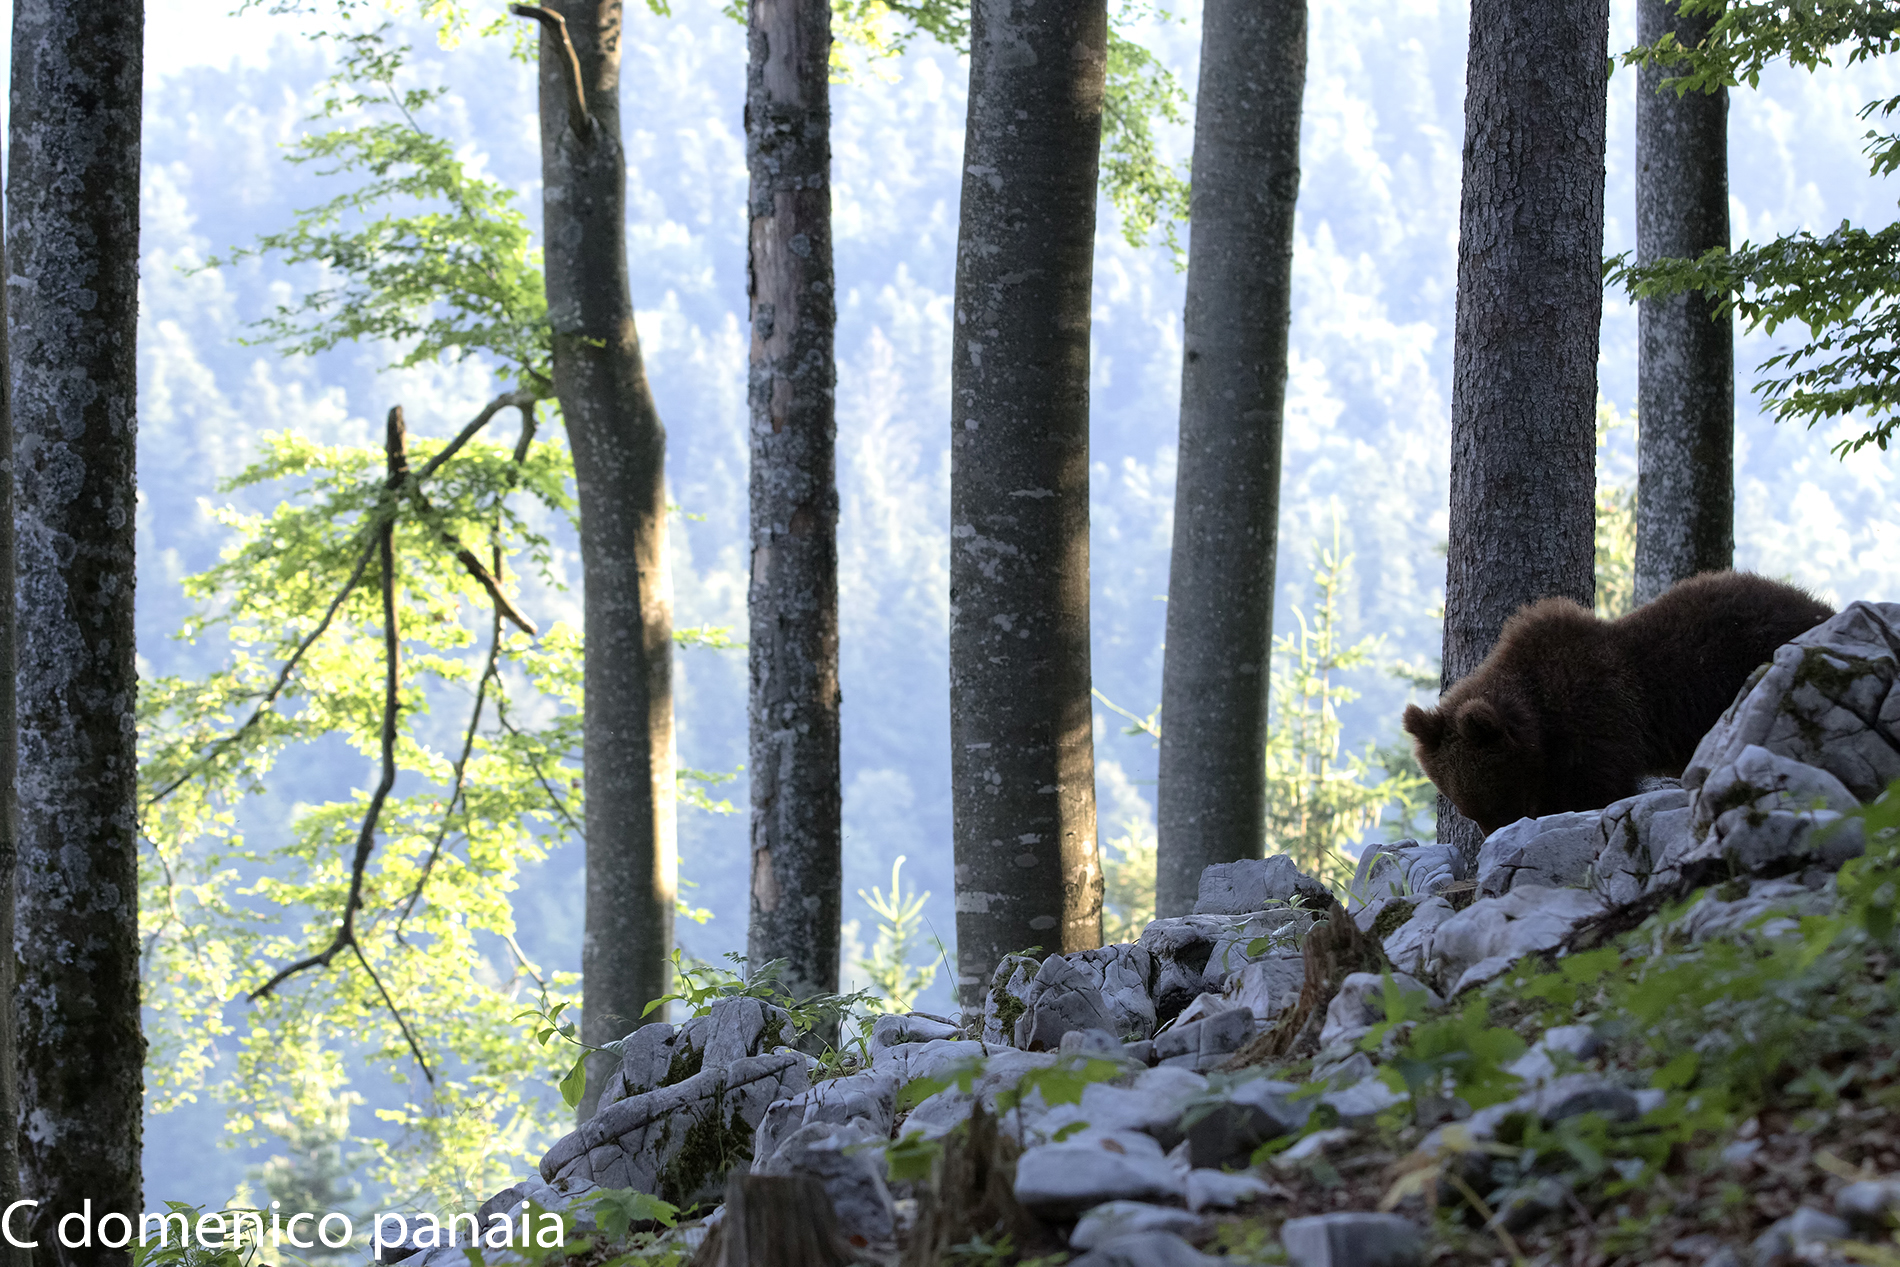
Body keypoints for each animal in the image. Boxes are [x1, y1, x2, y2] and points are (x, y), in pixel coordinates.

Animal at [1401, 571, 1835, 837]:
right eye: (1469, 810)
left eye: (1500, 800)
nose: (1493, 837)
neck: (1540, 721)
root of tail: (1822, 607)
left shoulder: (1597, 720)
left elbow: (1596, 791)